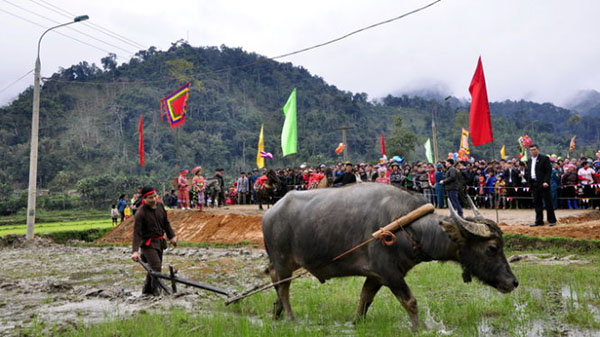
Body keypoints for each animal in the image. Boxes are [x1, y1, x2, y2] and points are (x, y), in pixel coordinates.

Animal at [264, 182, 520, 330]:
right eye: (492, 248)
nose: (513, 282)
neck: (407, 227)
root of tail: (270, 212)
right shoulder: (389, 273)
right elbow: (410, 301)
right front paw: (419, 328)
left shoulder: (376, 275)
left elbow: (365, 298)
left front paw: (356, 322)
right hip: (283, 261)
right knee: (283, 288)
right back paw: (290, 318)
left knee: (276, 283)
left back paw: (276, 313)